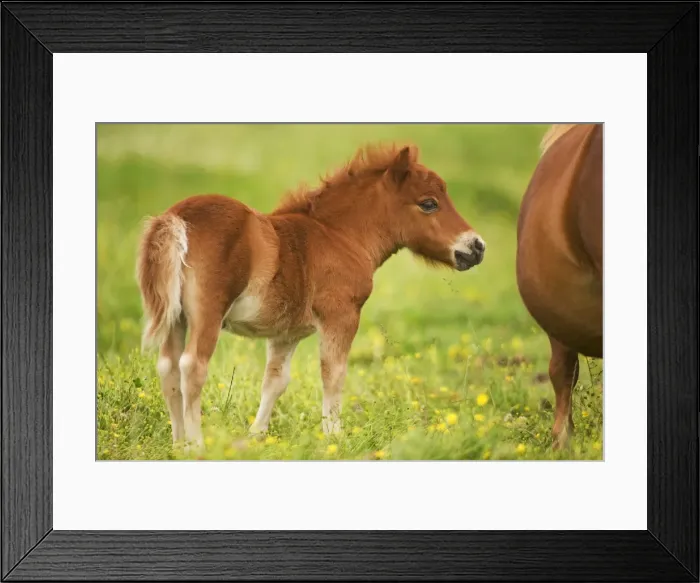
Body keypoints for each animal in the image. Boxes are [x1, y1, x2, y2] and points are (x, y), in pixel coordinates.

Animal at [136, 144, 486, 450]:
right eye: (428, 203)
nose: (477, 246)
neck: (337, 236)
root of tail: (174, 219)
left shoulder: (286, 333)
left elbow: (275, 381)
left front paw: (256, 437)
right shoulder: (340, 317)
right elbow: (334, 373)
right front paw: (334, 437)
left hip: (176, 318)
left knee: (167, 367)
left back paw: (178, 444)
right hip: (207, 312)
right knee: (192, 366)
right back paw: (196, 445)